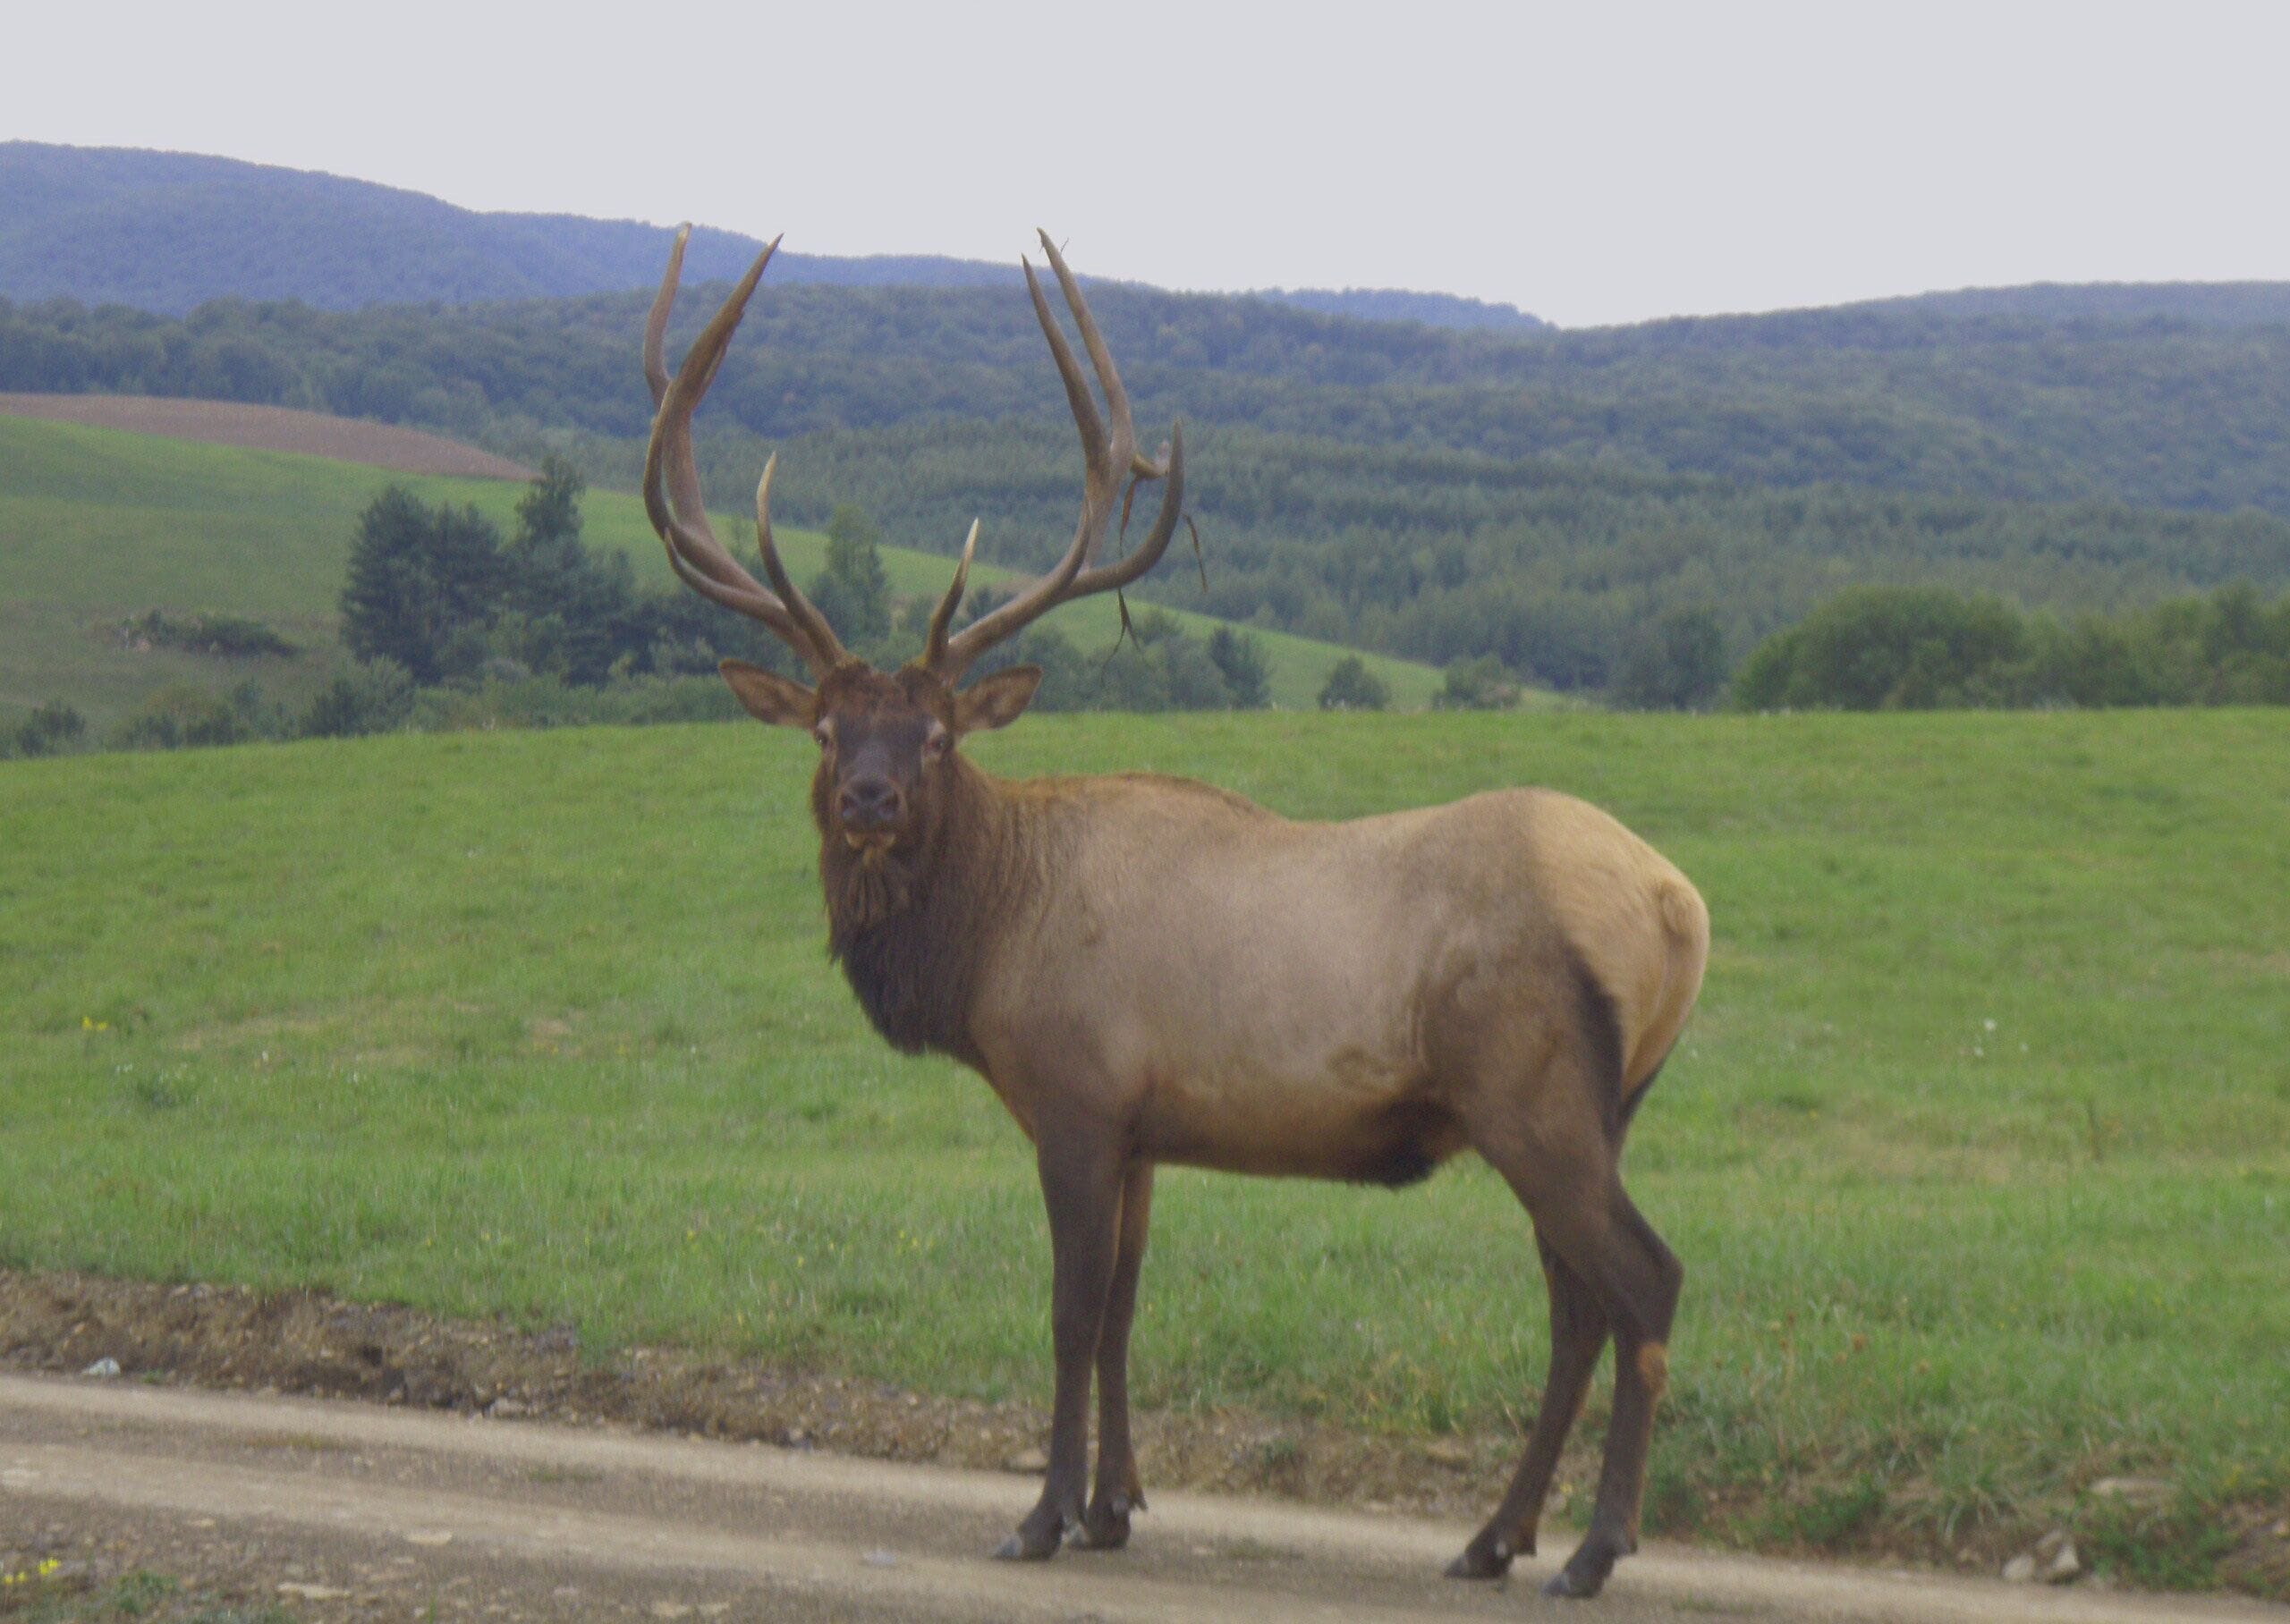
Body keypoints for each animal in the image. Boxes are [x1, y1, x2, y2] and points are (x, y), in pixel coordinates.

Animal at [636, 225, 1709, 1601]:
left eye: (935, 734)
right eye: (827, 728)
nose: (871, 799)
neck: (988, 950)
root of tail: (1677, 908)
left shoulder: (1076, 1096)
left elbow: (1068, 1311)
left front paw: (1041, 1515)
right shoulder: (1144, 1128)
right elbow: (1125, 1313)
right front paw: (1115, 1505)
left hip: (1533, 1093)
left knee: (1643, 1281)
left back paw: (1592, 1547)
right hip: (1597, 1107)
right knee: (1578, 1302)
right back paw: (1492, 1537)